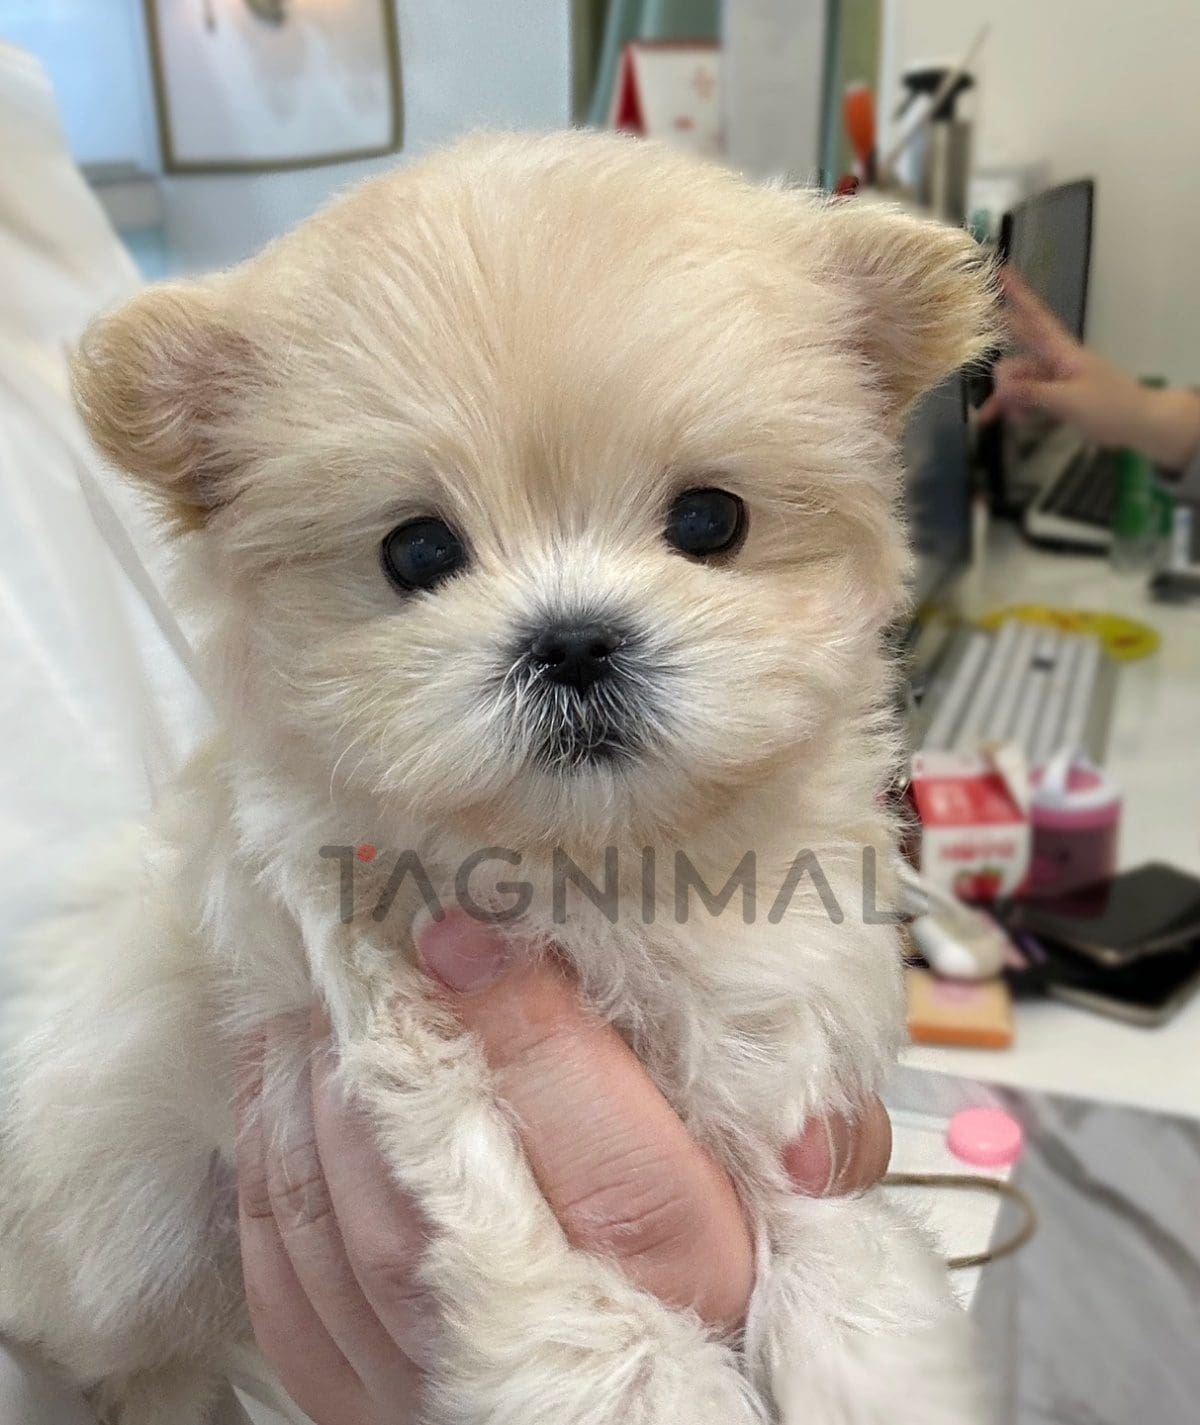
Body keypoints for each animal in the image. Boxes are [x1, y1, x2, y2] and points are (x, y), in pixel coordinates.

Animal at [0, 131, 995, 1424]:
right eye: (416, 550)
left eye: (709, 521)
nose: (572, 641)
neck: (599, 866)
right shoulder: (378, 1008)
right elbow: (525, 1237)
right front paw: (658, 1383)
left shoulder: (776, 1031)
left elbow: (820, 1219)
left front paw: (866, 1350)